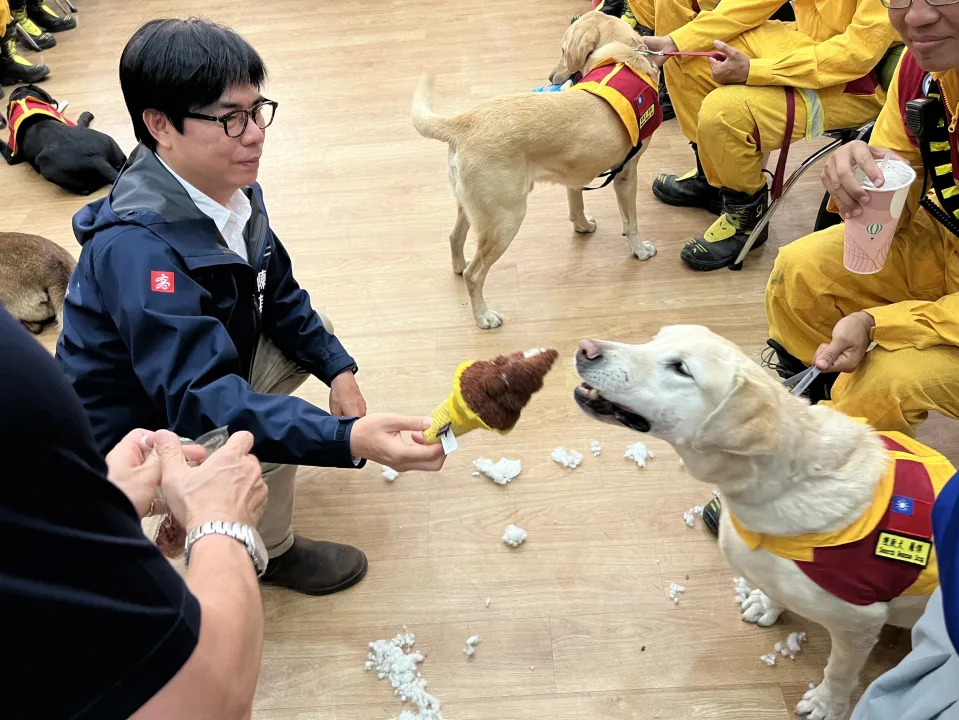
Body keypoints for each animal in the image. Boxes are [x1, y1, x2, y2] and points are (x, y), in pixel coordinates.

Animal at [412, 12, 660, 328]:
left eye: (563, 51)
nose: (551, 78)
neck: (622, 57)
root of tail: (463, 122)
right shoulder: (627, 173)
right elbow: (632, 223)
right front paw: (639, 250)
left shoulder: (574, 172)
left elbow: (576, 205)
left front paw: (582, 226)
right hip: (507, 218)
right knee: (475, 274)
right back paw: (483, 316)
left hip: (473, 208)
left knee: (455, 239)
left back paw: (459, 265)